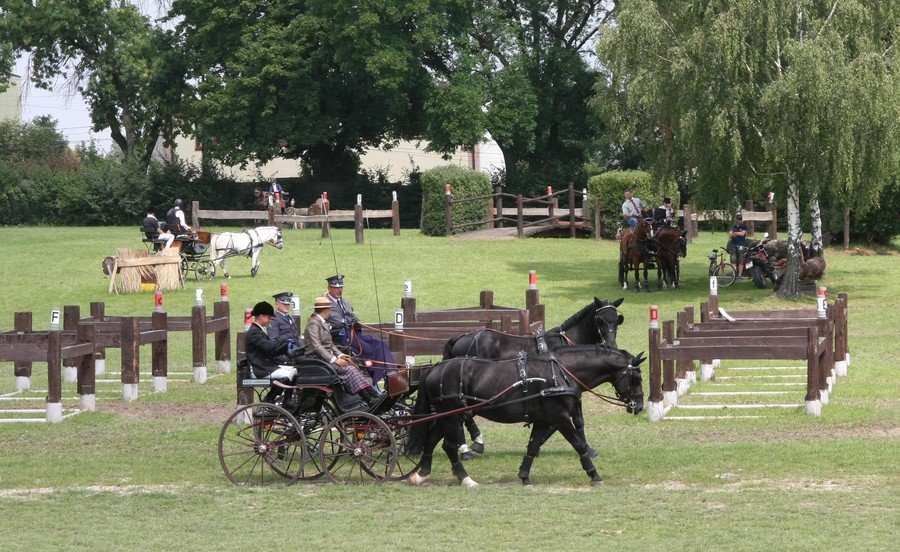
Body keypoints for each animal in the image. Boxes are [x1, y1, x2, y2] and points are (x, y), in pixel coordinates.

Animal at [404, 348, 644, 486]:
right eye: (636, 378)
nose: (640, 405)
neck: (562, 372)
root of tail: (434, 368)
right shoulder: (560, 418)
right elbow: (578, 444)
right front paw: (594, 475)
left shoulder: (544, 420)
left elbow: (533, 446)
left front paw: (524, 475)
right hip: (454, 416)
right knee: (449, 446)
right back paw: (465, 478)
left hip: (448, 416)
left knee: (433, 441)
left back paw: (422, 474)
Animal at [442, 298, 624, 458]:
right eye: (600, 319)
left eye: (617, 320)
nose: (611, 345)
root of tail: (460, 338)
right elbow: (565, 421)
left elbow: (576, 421)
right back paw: (468, 448)